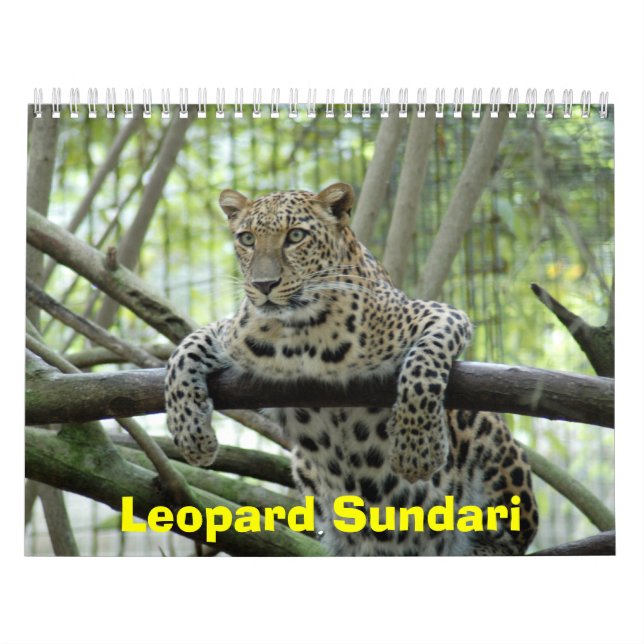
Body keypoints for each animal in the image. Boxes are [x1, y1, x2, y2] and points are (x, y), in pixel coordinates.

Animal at [164, 182, 539, 556]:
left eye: (295, 236)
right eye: (246, 239)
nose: (263, 285)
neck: (296, 333)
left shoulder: (439, 314)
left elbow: (423, 366)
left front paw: (416, 450)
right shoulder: (233, 331)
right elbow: (183, 351)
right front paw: (191, 434)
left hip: (492, 445)